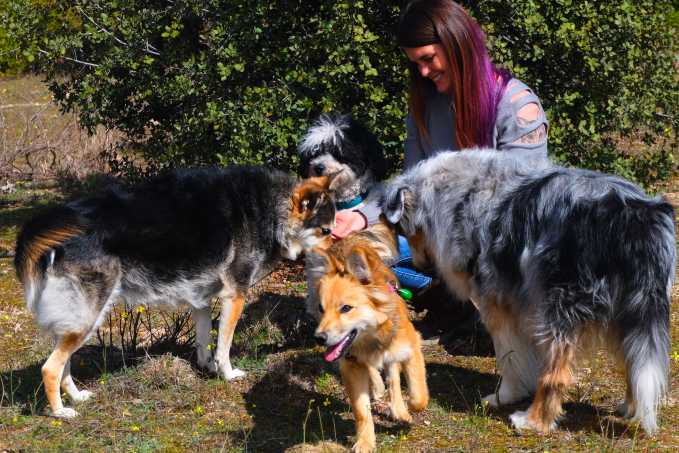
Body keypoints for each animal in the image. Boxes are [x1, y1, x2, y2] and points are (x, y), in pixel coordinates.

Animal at [14, 166, 336, 416]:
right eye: (326, 231)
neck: (270, 210)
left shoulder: (202, 301)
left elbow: (205, 342)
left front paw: (207, 368)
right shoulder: (235, 297)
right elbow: (224, 346)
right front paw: (227, 374)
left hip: (77, 324)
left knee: (63, 364)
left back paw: (77, 397)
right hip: (86, 320)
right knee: (50, 368)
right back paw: (60, 412)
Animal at [386, 149, 676, 434]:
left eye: (404, 232)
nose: (421, 268)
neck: (461, 195)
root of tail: (636, 217)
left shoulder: (497, 305)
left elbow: (509, 356)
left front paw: (504, 396)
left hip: (561, 306)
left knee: (557, 374)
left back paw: (535, 421)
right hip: (631, 309)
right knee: (633, 359)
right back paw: (629, 408)